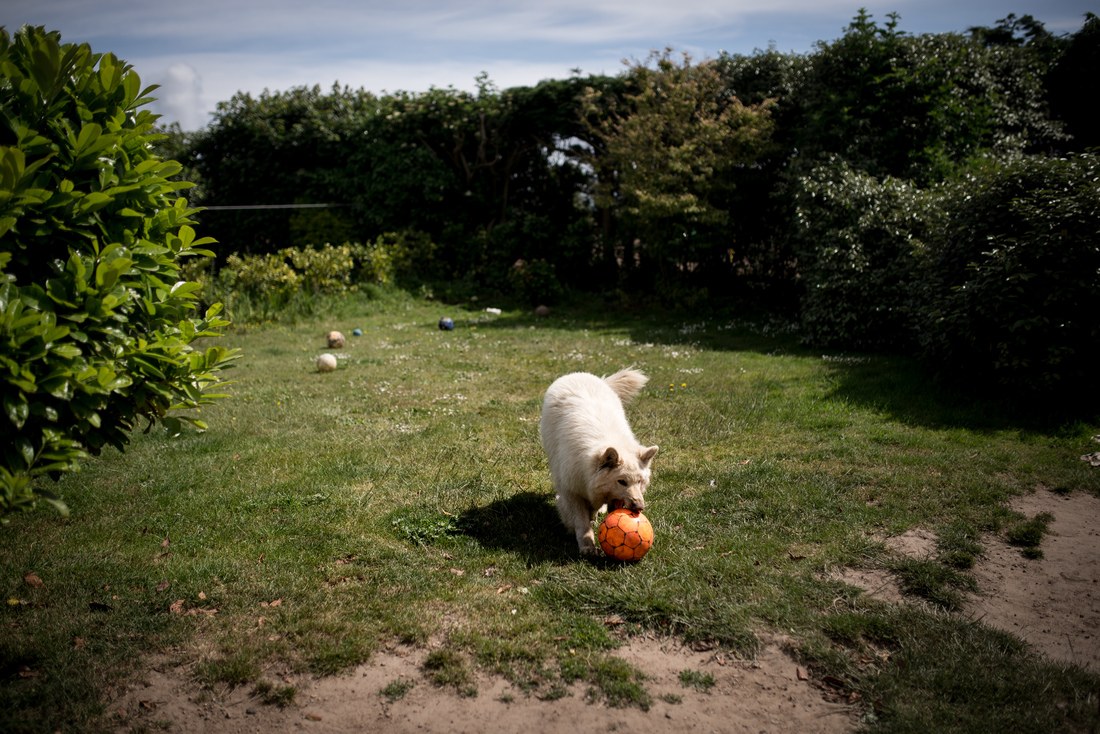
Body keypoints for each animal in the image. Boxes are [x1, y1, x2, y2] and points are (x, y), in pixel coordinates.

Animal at [539, 369, 655, 554]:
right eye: (622, 482)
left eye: (639, 482)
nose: (639, 508)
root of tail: (580, 374)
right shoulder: (573, 491)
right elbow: (581, 521)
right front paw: (586, 544)